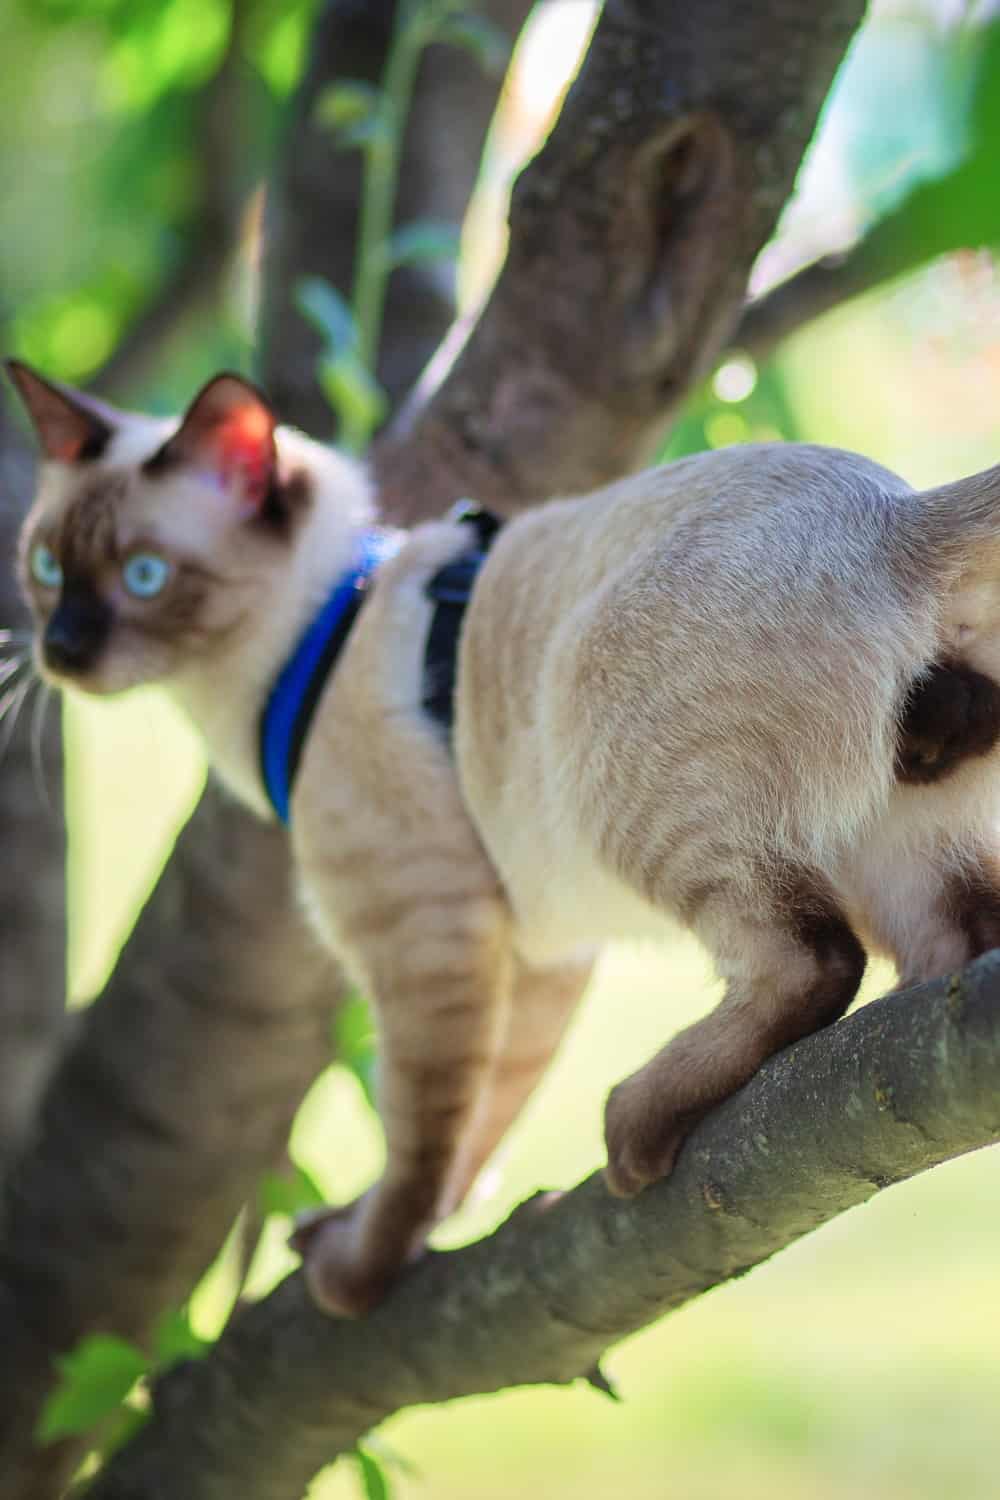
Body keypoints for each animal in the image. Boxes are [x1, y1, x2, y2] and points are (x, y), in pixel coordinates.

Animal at [7, 360, 1000, 1314]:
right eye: (47, 568)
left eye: (143, 576)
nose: (62, 650)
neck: (315, 633)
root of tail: (897, 515)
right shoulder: (533, 956)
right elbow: (474, 1134)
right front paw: (375, 1233)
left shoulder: (429, 937)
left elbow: (419, 1144)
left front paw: (359, 1277)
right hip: (887, 849)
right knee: (948, 945)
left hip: (609, 753)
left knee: (814, 962)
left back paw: (632, 1124)